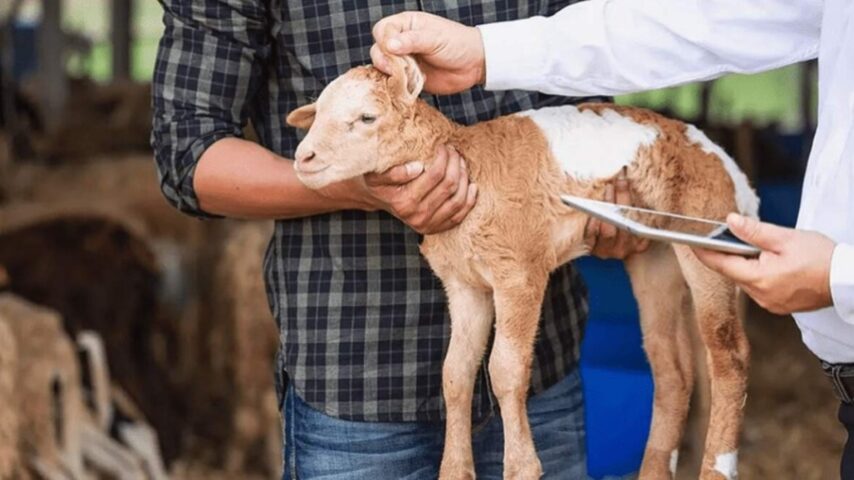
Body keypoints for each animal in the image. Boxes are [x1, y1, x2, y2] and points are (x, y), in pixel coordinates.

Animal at [288, 57, 756, 480]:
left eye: (367, 117)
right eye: (318, 113)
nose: (303, 158)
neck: (469, 164)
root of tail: (731, 170)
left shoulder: (520, 271)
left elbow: (505, 370)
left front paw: (521, 467)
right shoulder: (464, 284)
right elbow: (455, 373)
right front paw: (455, 471)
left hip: (706, 227)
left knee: (728, 354)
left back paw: (717, 467)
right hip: (654, 254)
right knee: (671, 367)